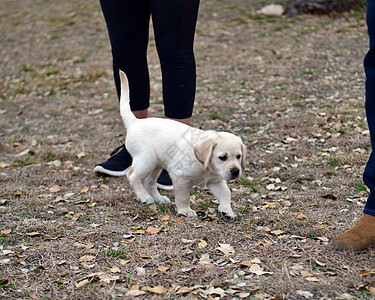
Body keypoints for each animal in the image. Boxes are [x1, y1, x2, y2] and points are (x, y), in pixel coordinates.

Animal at [119, 70, 247, 218]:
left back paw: (158, 198)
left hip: (157, 163)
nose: (236, 171)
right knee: (132, 175)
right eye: (222, 157)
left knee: (148, 181)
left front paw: (227, 210)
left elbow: (227, 192)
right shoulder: (179, 177)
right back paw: (144, 196)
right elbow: (183, 196)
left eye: (238, 156)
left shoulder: (215, 181)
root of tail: (135, 121)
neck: (205, 165)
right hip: (147, 159)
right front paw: (185, 210)